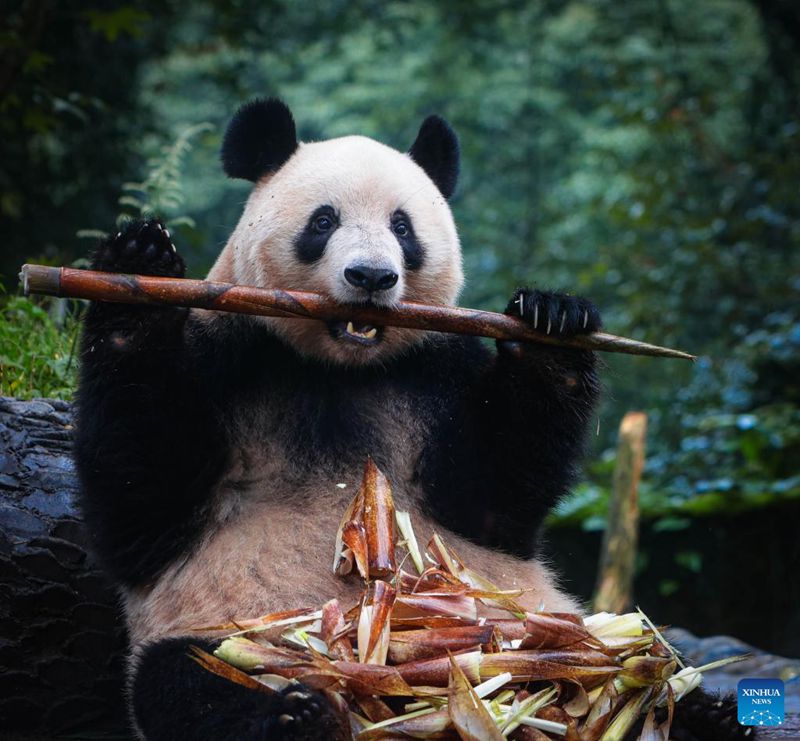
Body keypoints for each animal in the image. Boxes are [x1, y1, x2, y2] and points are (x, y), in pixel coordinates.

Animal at [72, 99, 748, 740]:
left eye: (403, 226)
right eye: (323, 221)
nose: (371, 276)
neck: (341, 365)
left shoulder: (435, 374)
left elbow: (495, 500)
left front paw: (553, 320)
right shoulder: (229, 350)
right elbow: (141, 502)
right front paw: (137, 264)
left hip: (545, 619)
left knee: (643, 655)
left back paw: (700, 712)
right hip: (240, 630)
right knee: (190, 682)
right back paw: (297, 716)